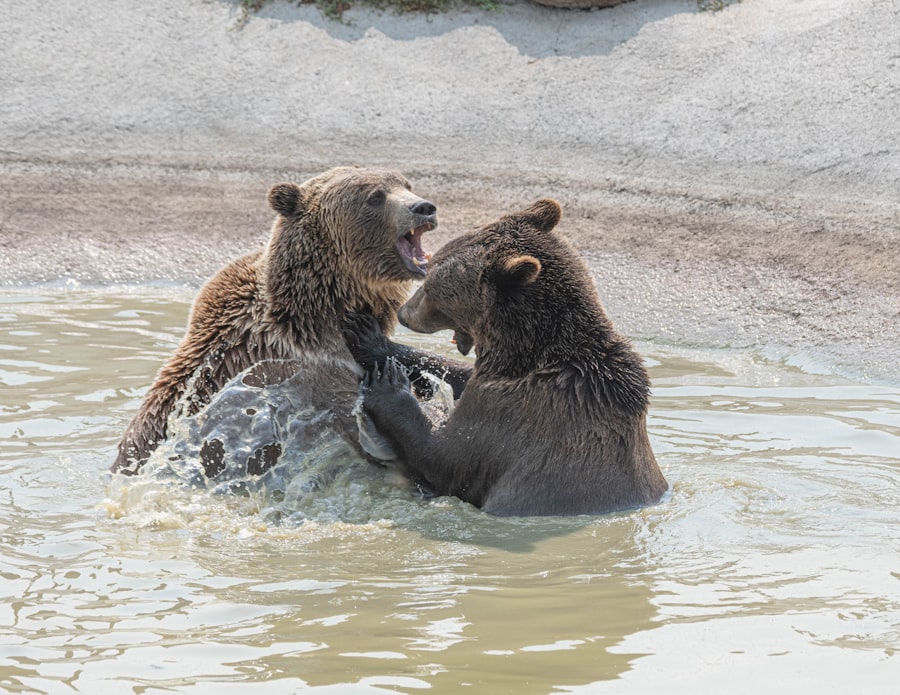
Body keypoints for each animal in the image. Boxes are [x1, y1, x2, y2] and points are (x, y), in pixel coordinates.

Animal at [348, 198, 669, 516]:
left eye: (430, 284)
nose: (404, 313)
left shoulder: (519, 416)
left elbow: (443, 457)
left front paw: (388, 382)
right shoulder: (496, 382)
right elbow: (464, 374)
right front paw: (371, 337)